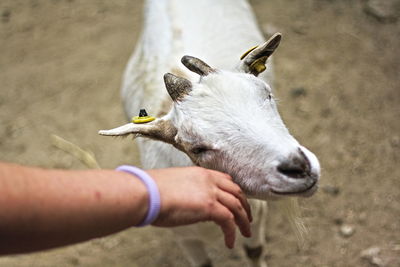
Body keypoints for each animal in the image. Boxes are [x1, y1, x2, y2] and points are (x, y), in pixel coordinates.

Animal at [101, 1, 322, 266]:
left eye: (267, 94)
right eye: (197, 148)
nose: (299, 167)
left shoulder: (256, 215)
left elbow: (255, 251)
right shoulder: (185, 237)